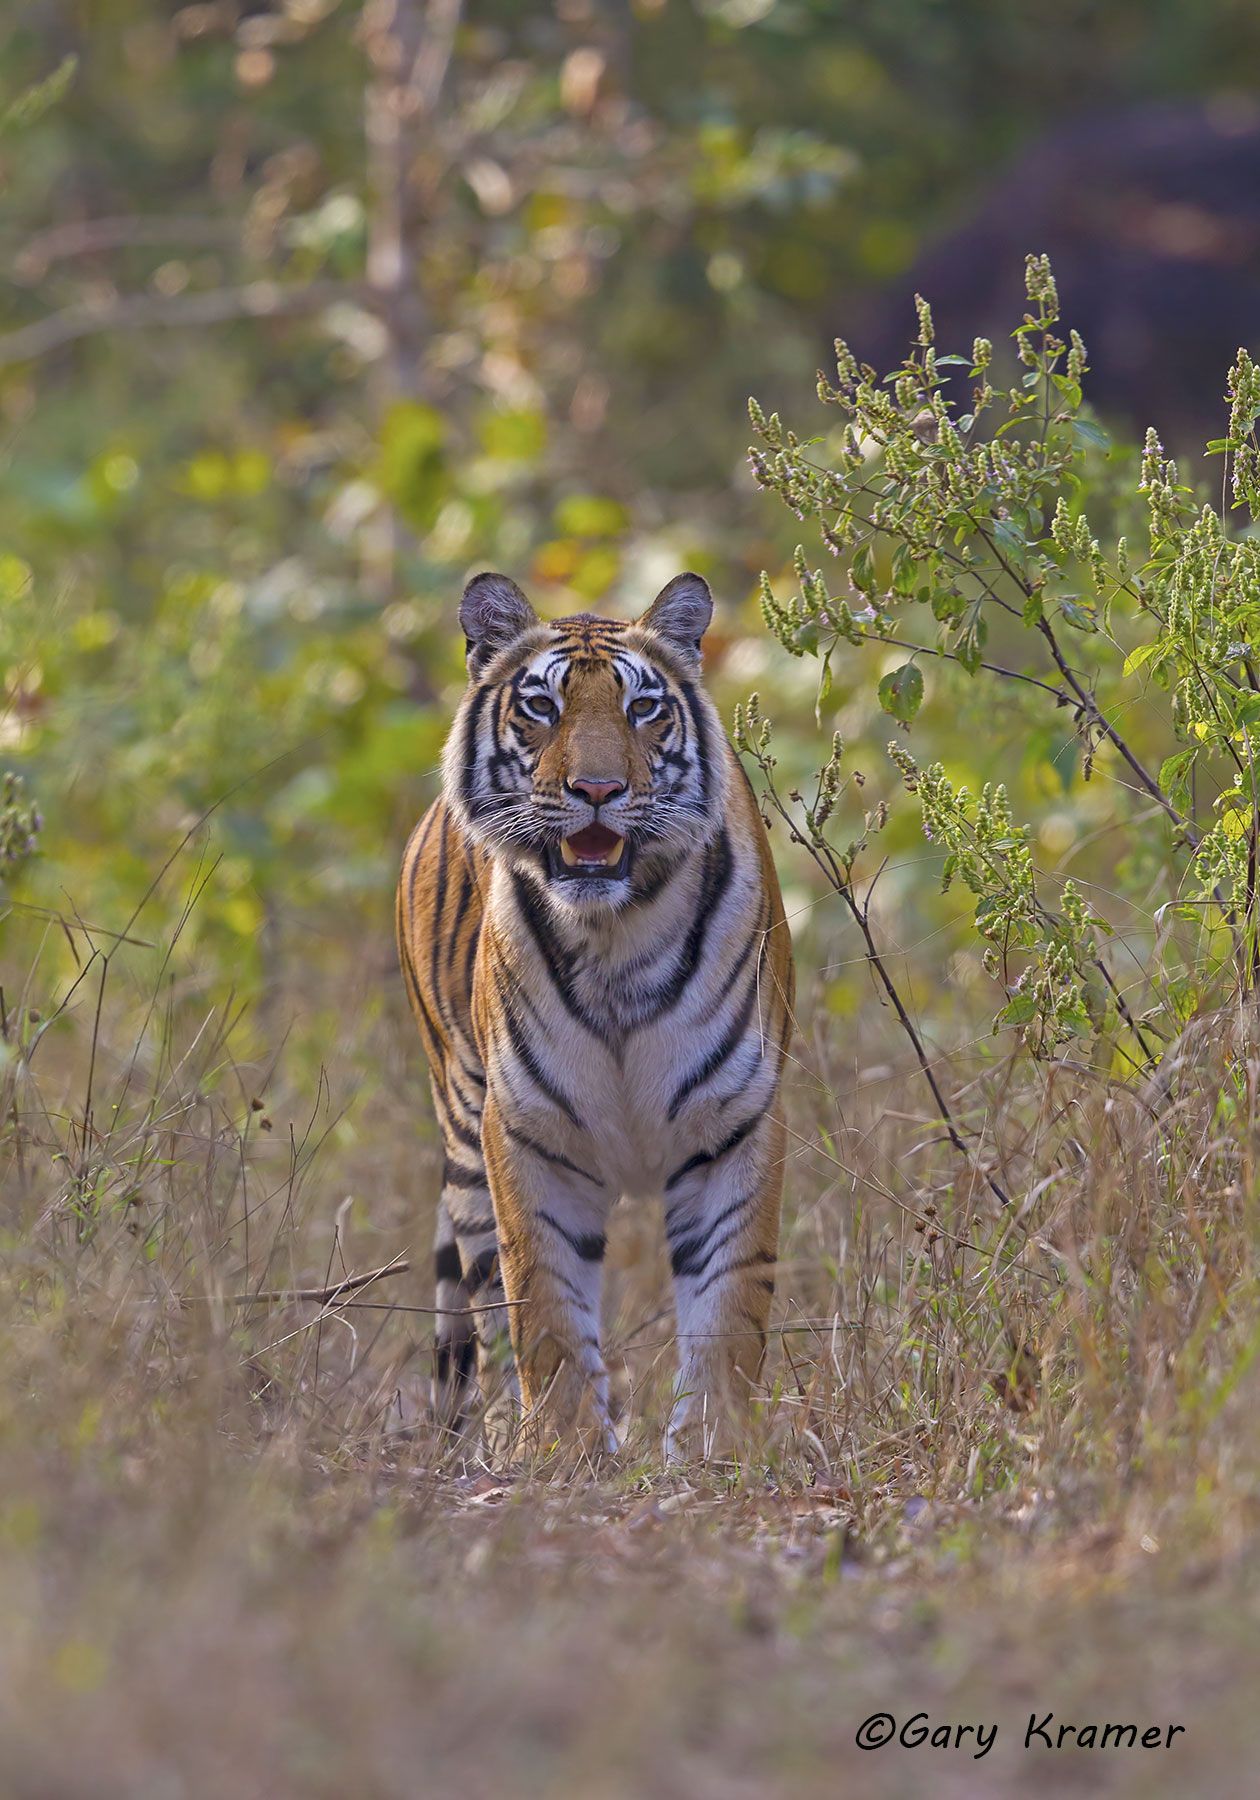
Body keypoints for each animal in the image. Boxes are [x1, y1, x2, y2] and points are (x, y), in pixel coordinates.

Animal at [395, 570, 794, 1458]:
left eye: (643, 708)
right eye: (541, 707)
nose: (600, 791)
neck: (615, 938)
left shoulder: (736, 1123)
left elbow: (730, 1305)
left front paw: (715, 1448)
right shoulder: (528, 1131)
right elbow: (542, 1308)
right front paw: (568, 1450)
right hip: (461, 1125)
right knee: (483, 1303)